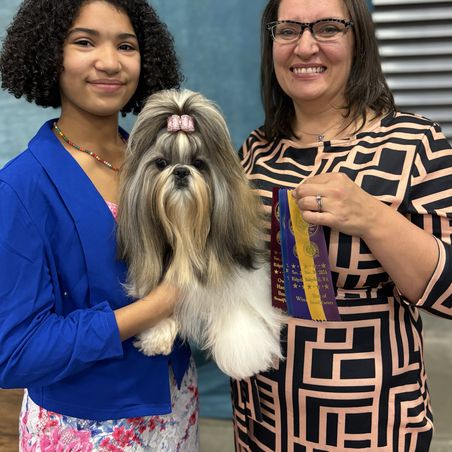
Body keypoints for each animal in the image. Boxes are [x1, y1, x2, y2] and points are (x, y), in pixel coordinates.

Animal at [116, 89, 283, 380]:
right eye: (161, 163)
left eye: (198, 163)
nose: (181, 171)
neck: (188, 233)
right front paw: (156, 333)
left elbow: (237, 300)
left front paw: (244, 352)